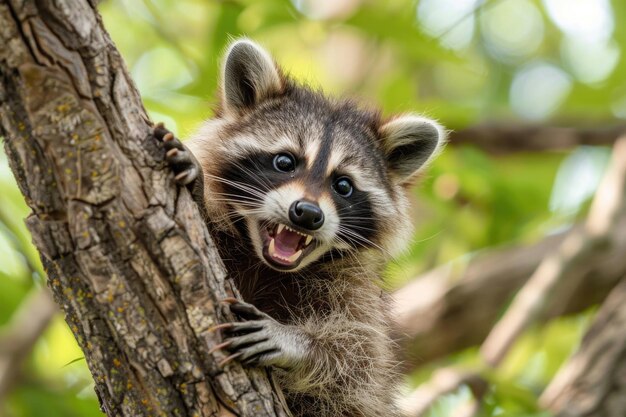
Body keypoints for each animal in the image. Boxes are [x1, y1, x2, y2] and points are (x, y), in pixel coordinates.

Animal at [153, 39, 442, 416]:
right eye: (285, 162)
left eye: (343, 185)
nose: (306, 214)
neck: (266, 264)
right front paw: (199, 191)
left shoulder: (353, 289)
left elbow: (360, 364)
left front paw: (299, 344)